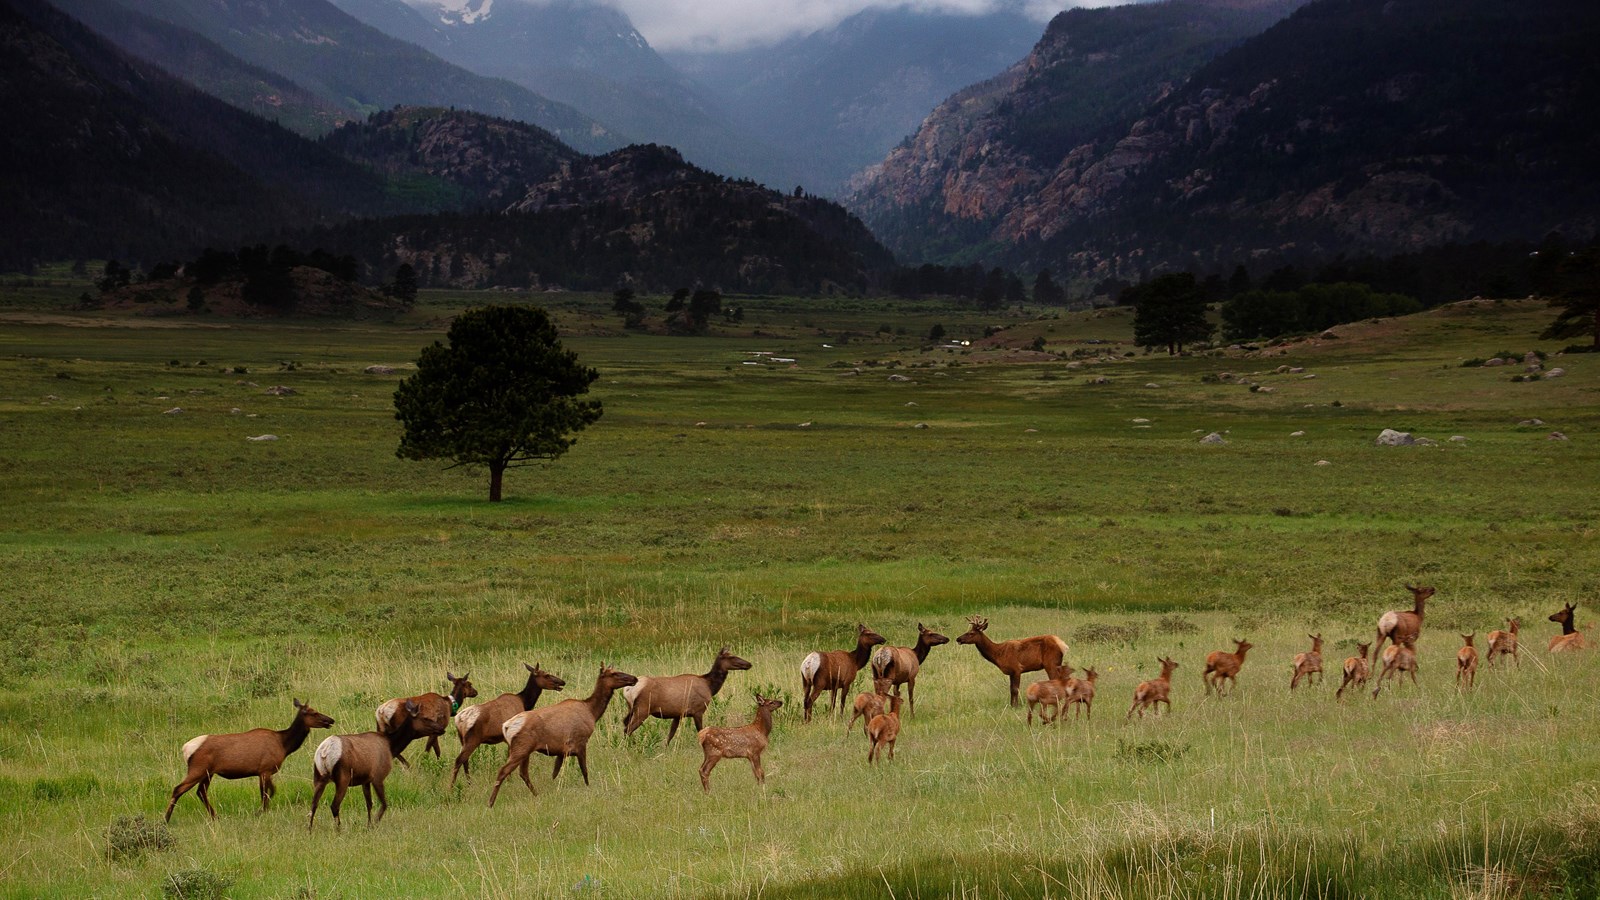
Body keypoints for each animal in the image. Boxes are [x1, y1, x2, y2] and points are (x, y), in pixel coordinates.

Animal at [165, 698, 334, 816]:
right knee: (178, 789)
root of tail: (186, 749)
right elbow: (267, 793)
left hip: (208, 773)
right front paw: (261, 812)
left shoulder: (263, 772)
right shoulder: (265, 769)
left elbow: (269, 792)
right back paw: (166, 818)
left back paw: (214, 816)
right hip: (197, 769)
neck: (284, 745)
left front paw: (261, 811)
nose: (331, 720)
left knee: (200, 792)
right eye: (313, 712)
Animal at [486, 659, 636, 807]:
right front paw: (588, 788)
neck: (592, 712)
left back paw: (536, 794)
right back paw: (491, 802)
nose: (634, 678)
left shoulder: (562, 751)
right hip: (521, 748)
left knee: (523, 773)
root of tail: (506, 727)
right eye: (614, 673)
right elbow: (585, 771)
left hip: (524, 750)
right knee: (503, 771)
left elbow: (555, 773)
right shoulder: (580, 742)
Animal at [620, 643, 752, 743]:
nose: (749, 664)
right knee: (628, 729)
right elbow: (700, 731)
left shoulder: (678, 714)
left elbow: (670, 734)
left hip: (631, 708)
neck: (710, 686)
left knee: (625, 724)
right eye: (731, 657)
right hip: (643, 709)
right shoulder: (698, 710)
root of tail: (628, 690)